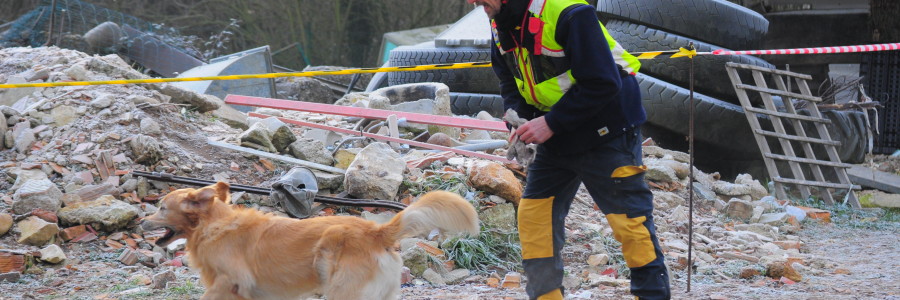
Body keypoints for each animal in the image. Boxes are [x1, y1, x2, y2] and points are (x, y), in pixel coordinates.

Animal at [141, 182, 478, 298]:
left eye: (162, 208)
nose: (141, 222)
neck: (212, 225)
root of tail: (375, 231)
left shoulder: (230, 282)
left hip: (342, 291)